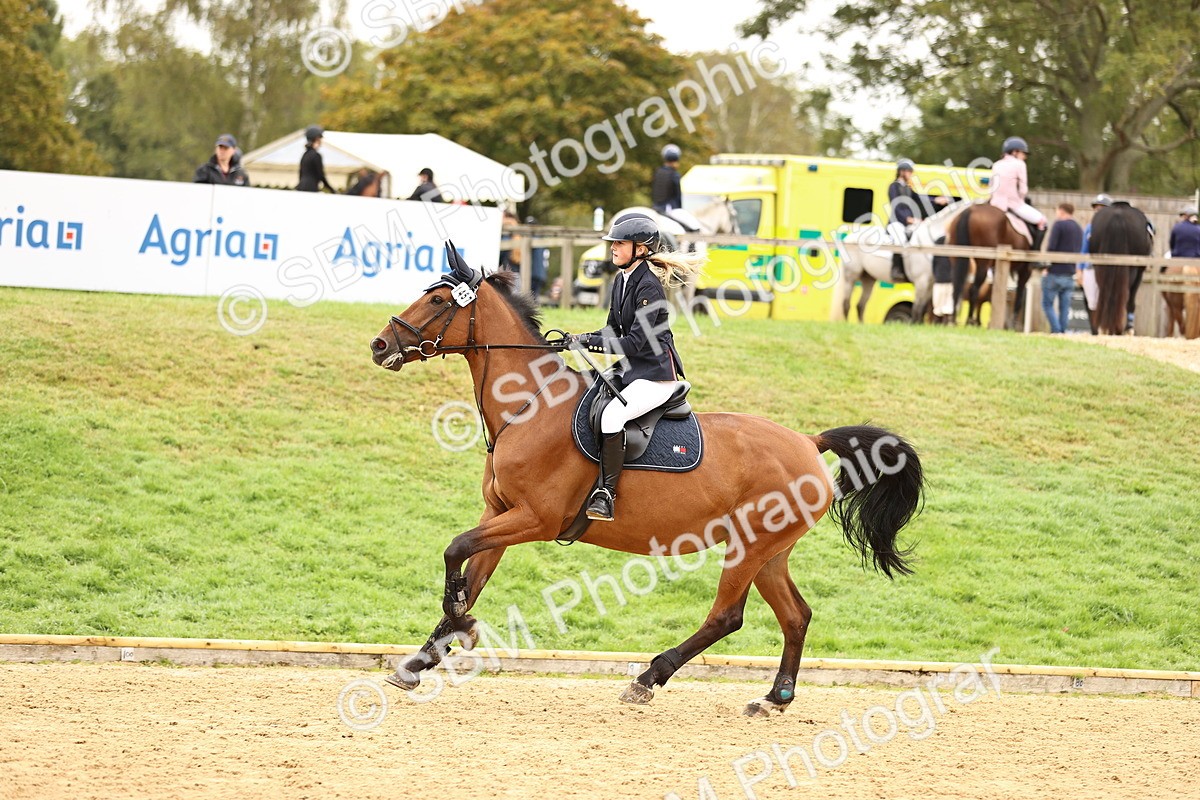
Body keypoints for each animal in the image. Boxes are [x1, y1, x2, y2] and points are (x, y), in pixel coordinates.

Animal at [369, 244, 925, 716]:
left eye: (438, 299)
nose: (379, 345)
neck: (529, 406)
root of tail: (808, 442)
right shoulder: (501, 514)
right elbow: (470, 570)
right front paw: (424, 657)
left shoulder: (535, 519)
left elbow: (454, 550)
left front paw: (460, 624)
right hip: (770, 551)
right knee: (796, 615)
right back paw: (774, 698)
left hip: (749, 547)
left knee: (728, 617)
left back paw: (649, 678)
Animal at [833, 199, 973, 323]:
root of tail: (848, 238)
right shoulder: (921, 282)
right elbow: (917, 308)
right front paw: (913, 325)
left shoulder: (929, 283)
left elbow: (922, 309)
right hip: (851, 276)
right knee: (846, 303)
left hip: (868, 278)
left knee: (860, 305)